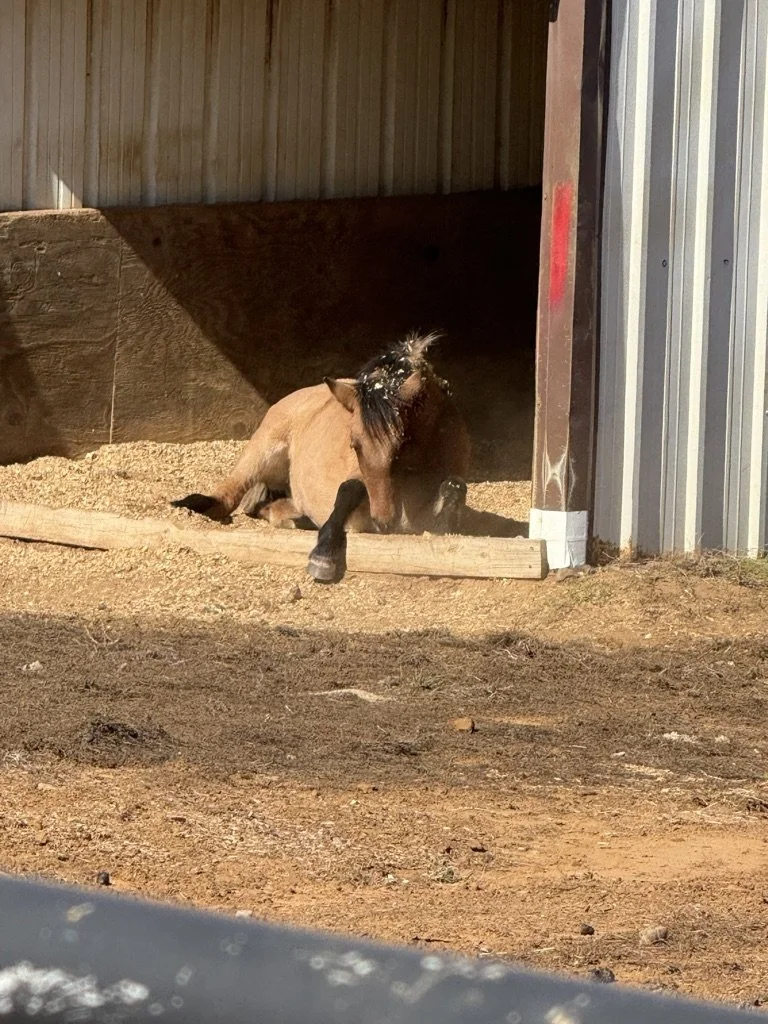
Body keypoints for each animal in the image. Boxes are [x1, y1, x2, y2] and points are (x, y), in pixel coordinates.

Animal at [171, 333, 471, 582]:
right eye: (354, 445)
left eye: (403, 445)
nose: (384, 521)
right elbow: (349, 489)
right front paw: (323, 556)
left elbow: (454, 490)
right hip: (262, 449)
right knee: (228, 494)